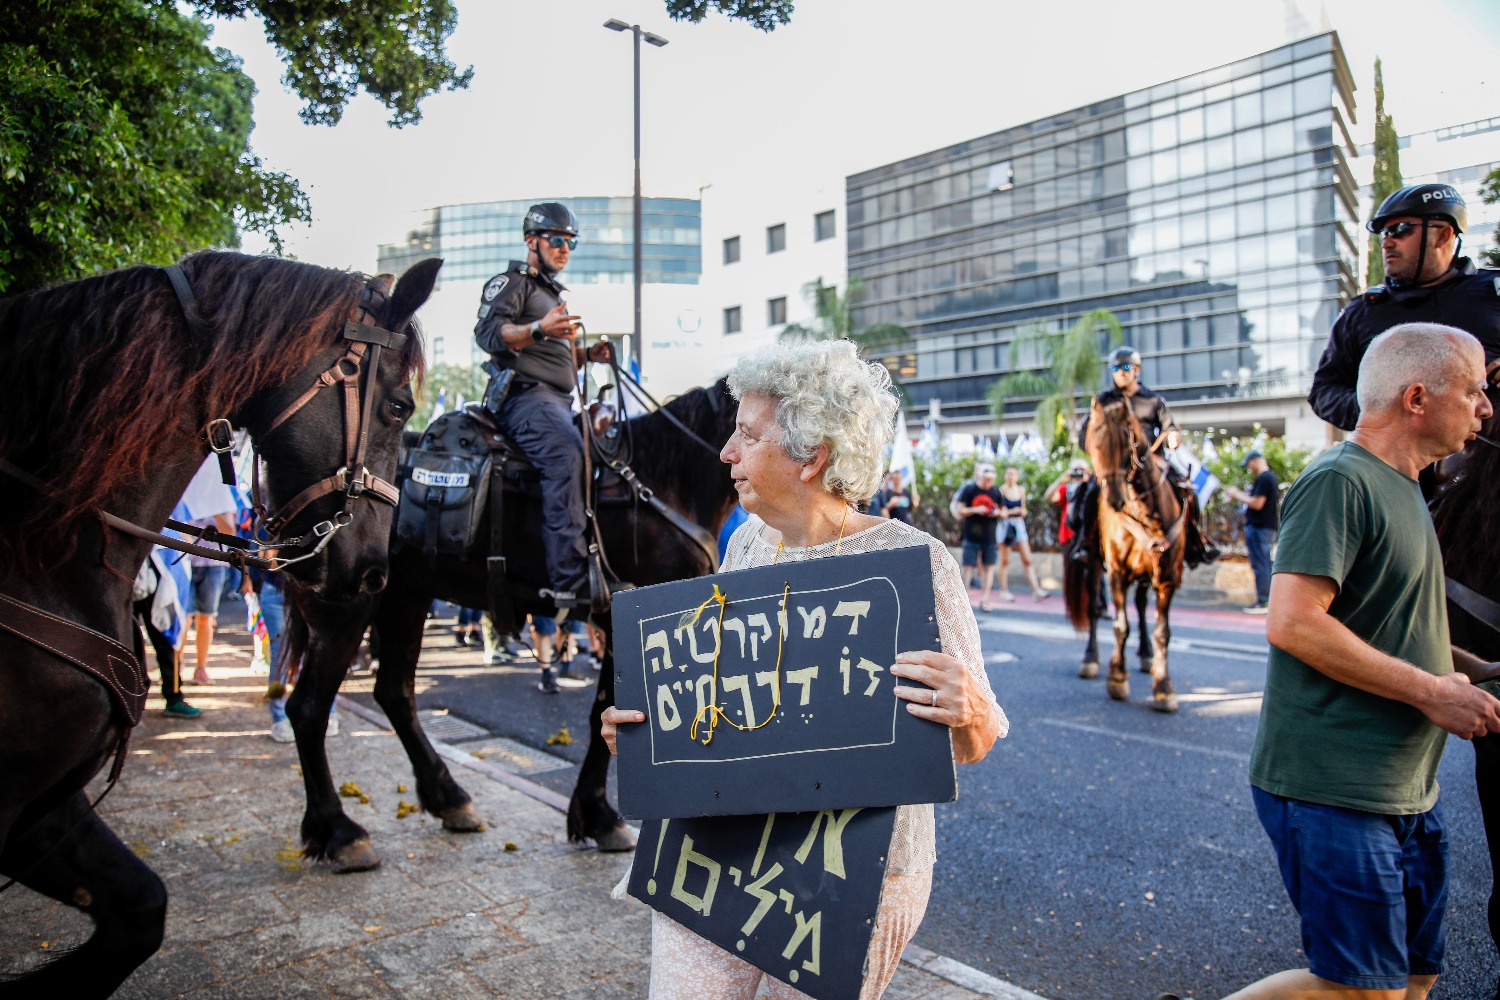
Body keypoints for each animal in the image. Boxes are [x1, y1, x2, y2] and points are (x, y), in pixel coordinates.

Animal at [282, 374, 738, 869]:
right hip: (346, 610)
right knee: (307, 708)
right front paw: (601, 815)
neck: (667, 483)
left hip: (404, 598)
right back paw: (339, 830)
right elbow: (609, 714)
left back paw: (449, 798)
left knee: (394, 693)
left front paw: (594, 814)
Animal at [1062, 392, 1188, 710]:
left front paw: (1163, 686)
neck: (1145, 513)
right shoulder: (1117, 571)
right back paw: (1091, 658)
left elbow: (1162, 631)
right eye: (1092, 443)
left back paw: (1146, 654)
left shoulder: (1167, 577)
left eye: (1125, 441)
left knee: (1141, 605)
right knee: (1095, 609)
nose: (1114, 498)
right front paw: (1117, 678)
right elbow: (1120, 626)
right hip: (1094, 562)